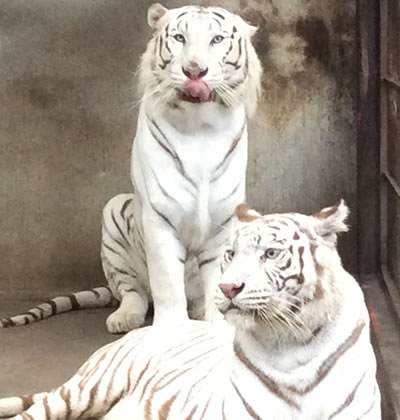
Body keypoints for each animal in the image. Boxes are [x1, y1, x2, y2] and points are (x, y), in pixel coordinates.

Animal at [0, 2, 262, 332]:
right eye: (179, 38)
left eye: (216, 40)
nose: (194, 70)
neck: (200, 123)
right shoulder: (160, 216)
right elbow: (166, 281)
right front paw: (172, 329)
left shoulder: (224, 220)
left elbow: (218, 277)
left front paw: (219, 323)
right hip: (113, 216)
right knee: (133, 292)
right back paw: (124, 319)